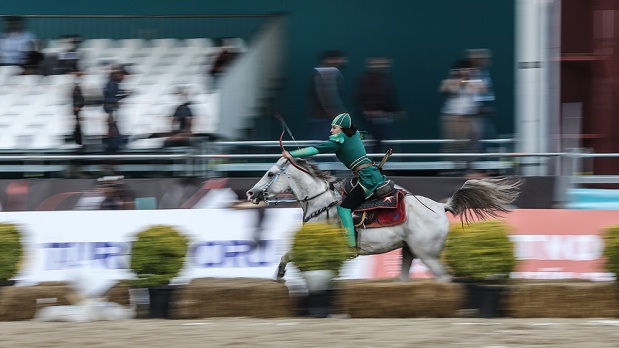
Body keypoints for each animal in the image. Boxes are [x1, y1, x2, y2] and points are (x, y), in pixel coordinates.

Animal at [245, 158, 520, 282]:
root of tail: (442, 207)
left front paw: (280, 273)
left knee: (444, 278)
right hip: (409, 252)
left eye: (270, 173)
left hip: (428, 255)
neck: (321, 204)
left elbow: (287, 255)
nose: (251, 193)